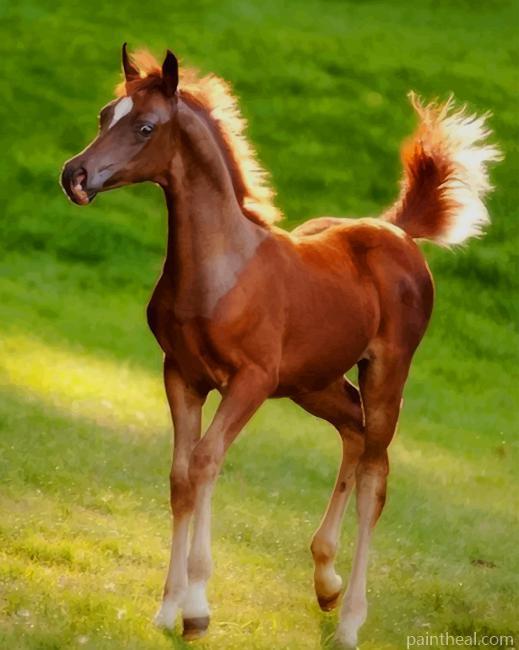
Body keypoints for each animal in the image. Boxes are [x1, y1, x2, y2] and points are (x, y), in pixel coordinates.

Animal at [60, 45, 500, 647]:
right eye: (106, 115)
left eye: (145, 127)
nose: (74, 174)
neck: (220, 269)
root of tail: (396, 231)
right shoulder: (181, 375)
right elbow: (180, 476)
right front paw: (167, 609)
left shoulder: (249, 382)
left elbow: (205, 463)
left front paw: (196, 608)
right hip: (314, 384)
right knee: (353, 433)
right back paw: (325, 581)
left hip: (385, 374)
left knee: (376, 476)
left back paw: (350, 620)